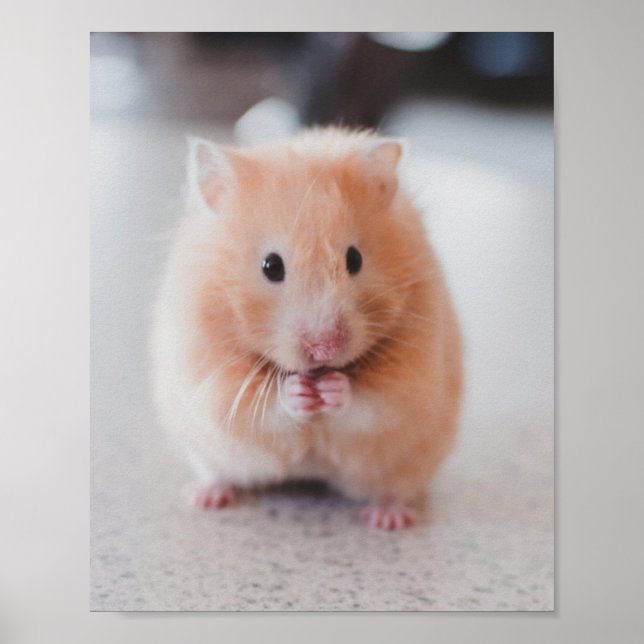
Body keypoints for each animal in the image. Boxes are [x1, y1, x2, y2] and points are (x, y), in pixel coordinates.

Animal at [151, 127, 462, 530]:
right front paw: (298, 392)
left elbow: (372, 403)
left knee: (392, 489)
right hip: (205, 451)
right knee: (218, 473)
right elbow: (262, 407)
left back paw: (388, 519)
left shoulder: (411, 380)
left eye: (355, 259)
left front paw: (333, 389)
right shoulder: (210, 377)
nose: (324, 350)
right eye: (271, 266)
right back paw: (205, 497)